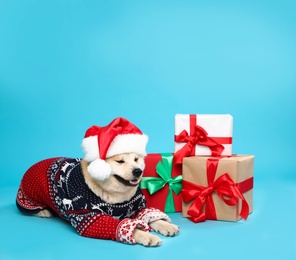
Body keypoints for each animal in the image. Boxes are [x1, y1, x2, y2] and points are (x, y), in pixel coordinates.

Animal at [16, 117, 179, 247]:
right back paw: (43, 211)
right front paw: (145, 235)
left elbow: (150, 216)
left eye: (136, 159)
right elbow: (130, 228)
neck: (117, 196)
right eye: (120, 161)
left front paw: (164, 224)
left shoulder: (137, 207)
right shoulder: (89, 217)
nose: (138, 171)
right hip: (29, 197)